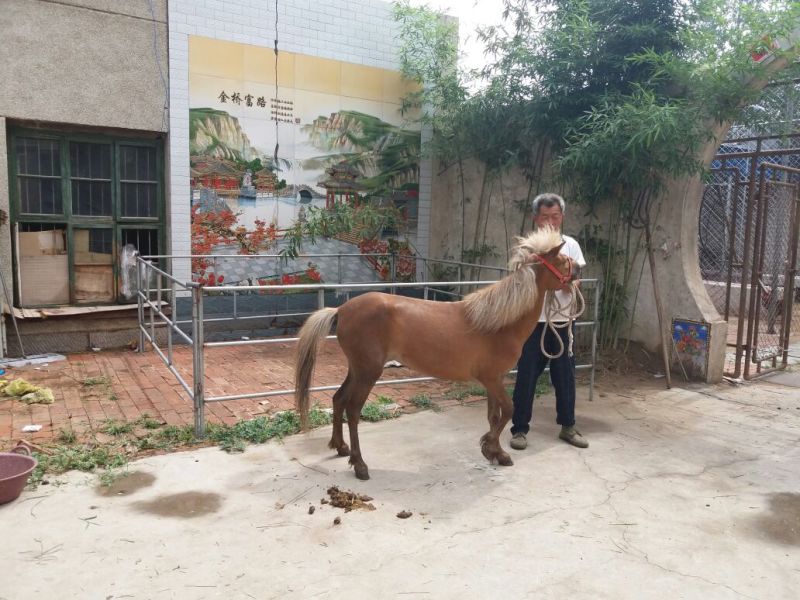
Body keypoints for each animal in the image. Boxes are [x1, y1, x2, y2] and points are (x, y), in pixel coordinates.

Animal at [294, 226, 574, 480]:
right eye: (562, 262)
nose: (578, 275)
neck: (497, 323)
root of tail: (341, 310)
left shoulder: (493, 381)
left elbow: (494, 414)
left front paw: (496, 452)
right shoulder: (492, 379)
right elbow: (507, 410)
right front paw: (488, 445)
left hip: (357, 369)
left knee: (338, 399)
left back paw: (341, 447)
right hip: (368, 372)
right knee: (352, 410)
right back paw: (360, 464)